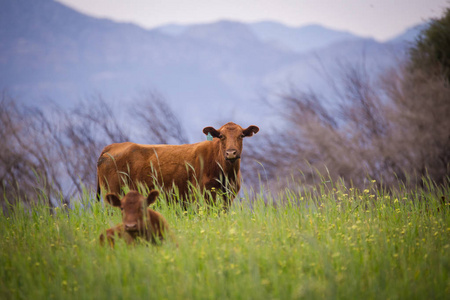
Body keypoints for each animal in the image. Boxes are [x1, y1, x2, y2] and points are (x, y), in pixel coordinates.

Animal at [96, 122, 258, 209]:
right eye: (221, 136)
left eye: (241, 136)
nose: (231, 153)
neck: (226, 174)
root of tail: (112, 146)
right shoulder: (203, 194)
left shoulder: (228, 195)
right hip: (113, 191)